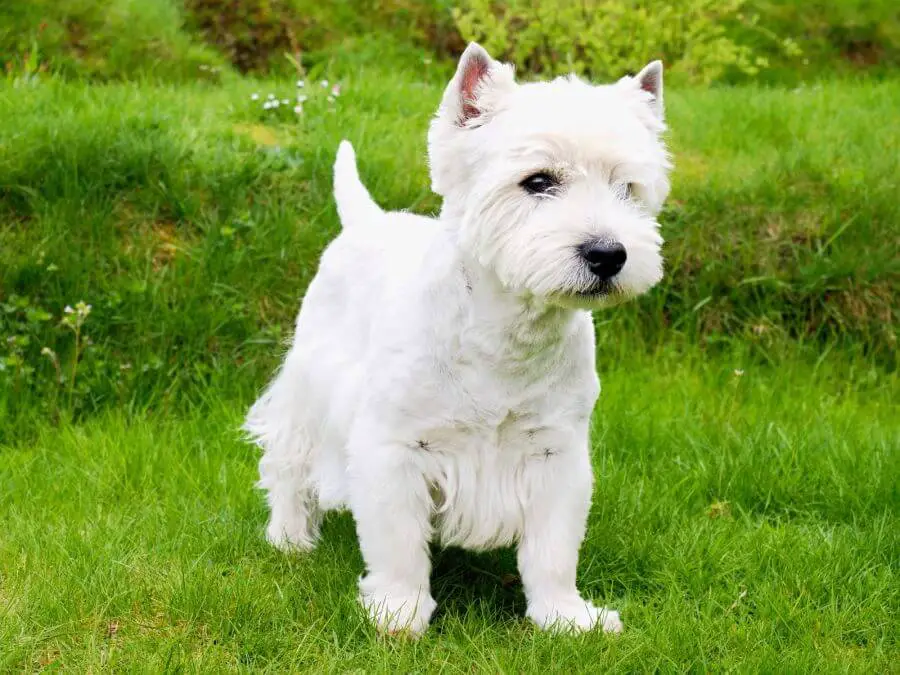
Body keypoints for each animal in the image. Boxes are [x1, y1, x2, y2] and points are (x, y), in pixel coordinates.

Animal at [243, 43, 672, 640]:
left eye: (627, 188)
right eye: (538, 181)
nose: (608, 255)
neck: (506, 336)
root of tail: (367, 221)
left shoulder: (556, 452)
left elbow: (553, 548)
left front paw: (565, 616)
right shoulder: (392, 447)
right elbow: (398, 542)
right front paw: (398, 612)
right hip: (308, 388)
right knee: (287, 459)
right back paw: (289, 539)